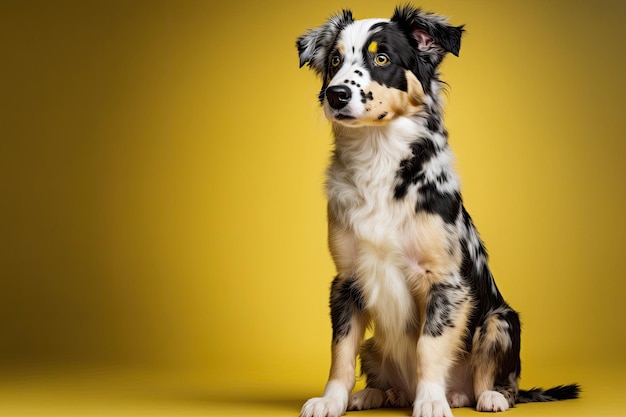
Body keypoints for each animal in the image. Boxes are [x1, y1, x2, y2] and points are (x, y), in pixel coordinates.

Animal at [294, 5, 576, 416]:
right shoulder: (346, 281)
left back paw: (482, 396)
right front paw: (332, 400)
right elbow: (340, 350)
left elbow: (428, 345)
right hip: (376, 346)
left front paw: (430, 400)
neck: (379, 157)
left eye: (382, 58)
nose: (337, 94)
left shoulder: (445, 281)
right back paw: (374, 394)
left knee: (494, 381)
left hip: (501, 320)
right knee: (378, 371)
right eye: (334, 61)